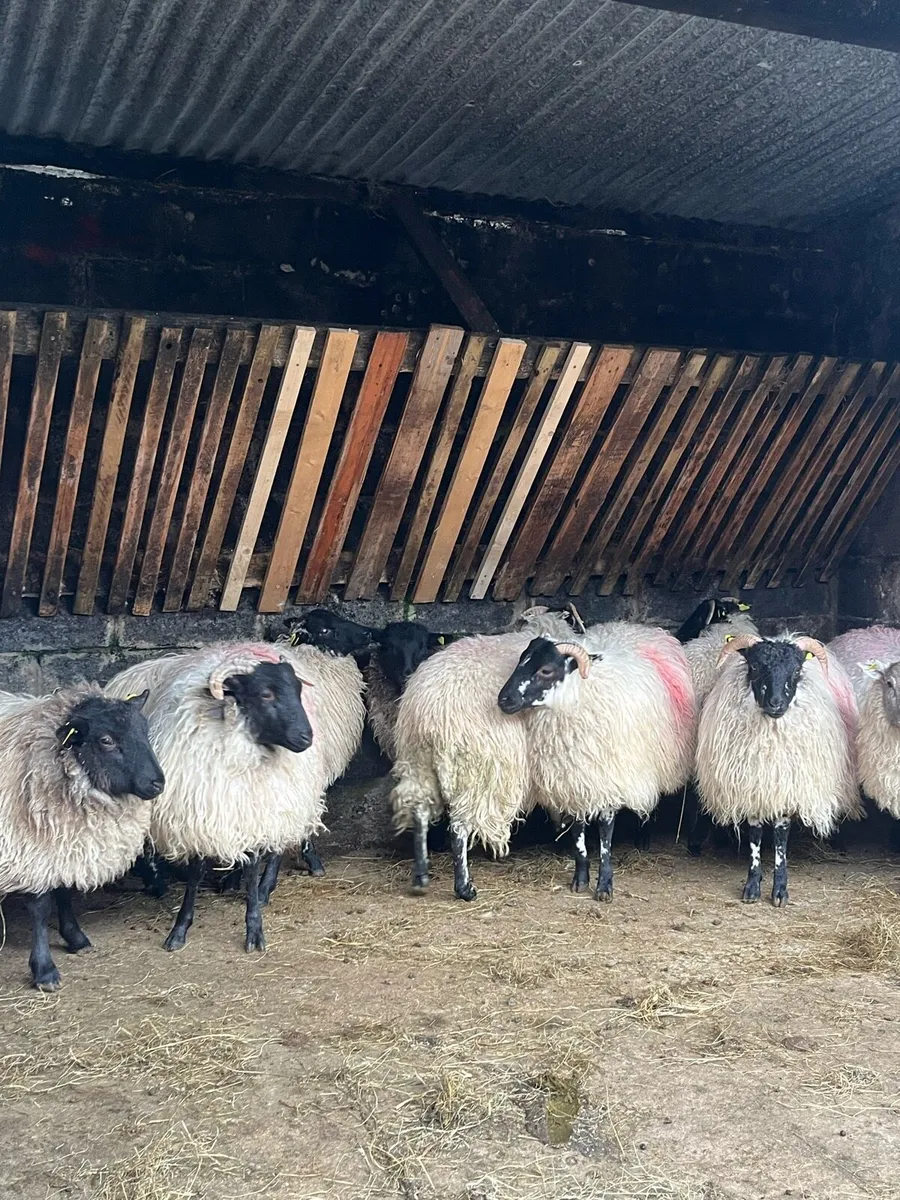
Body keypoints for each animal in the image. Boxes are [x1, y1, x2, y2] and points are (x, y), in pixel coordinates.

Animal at [0, 686, 164, 990]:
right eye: (106, 740)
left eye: (145, 730)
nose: (158, 783)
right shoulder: (30, 849)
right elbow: (40, 908)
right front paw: (44, 970)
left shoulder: (64, 841)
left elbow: (64, 890)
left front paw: (75, 937)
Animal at [105, 643, 321, 951]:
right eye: (265, 693)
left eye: (298, 690)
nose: (306, 737)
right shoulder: (199, 815)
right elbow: (195, 874)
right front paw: (179, 929)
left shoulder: (256, 813)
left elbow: (253, 868)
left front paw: (254, 927)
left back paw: (262, 887)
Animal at [391, 607, 578, 900]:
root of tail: (429, 709)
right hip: (477, 768)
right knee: (459, 825)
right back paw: (464, 887)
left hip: (416, 758)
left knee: (419, 810)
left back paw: (421, 876)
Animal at [497, 622, 696, 901]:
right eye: (521, 661)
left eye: (546, 670)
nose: (503, 700)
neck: (577, 694)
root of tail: (636, 626)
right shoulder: (576, 780)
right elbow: (578, 834)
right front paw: (580, 879)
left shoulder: (608, 778)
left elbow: (604, 835)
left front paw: (604, 886)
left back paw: (643, 838)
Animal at [695, 633, 860, 906]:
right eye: (754, 666)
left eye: (796, 670)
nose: (776, 703)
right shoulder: (751, 788)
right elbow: (754, 836)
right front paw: (752, 886)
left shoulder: (786, 788)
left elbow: (781, 840)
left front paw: (780, 890)